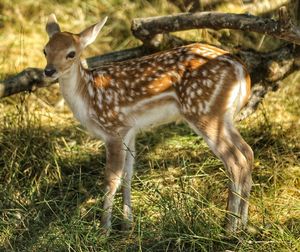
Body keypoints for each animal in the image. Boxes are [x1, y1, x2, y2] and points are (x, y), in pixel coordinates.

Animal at [42, 14, 253, 234]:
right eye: (45, 50)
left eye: (71, 54)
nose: (48, 71)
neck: (88, 96)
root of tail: (241, 70)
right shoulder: (130, 130)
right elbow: (128, 174)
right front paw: (127, 223)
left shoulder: (113, 128)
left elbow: (111, 179)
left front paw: (104, 228)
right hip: (224, 116)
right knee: (247, 152)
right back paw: (243, 223)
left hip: (203, 111)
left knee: (235, 160)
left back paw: (229, 227)